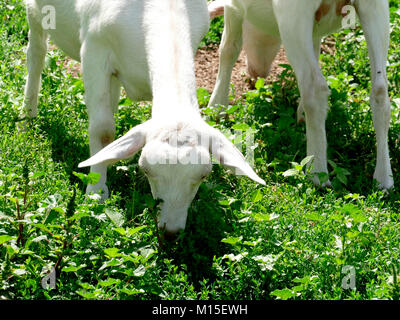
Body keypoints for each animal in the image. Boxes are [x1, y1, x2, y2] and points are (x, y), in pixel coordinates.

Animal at [23, 0, 264, 235]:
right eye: (145, 169)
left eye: (203, 175)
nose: (170, 232)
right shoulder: (94, 51)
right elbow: (103, 131)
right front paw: (96, 192)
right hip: (35, 14)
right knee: (36, 51)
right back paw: (27, 117)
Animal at [209, 0, 394, 189]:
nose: (257, 73)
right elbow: (316, 49)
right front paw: (302, 114)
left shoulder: (233, 7)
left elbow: (228, 48)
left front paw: (217, 108)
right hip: (375, 7)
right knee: (380, 90)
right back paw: (384, 179)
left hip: (293, 15)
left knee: (314, 88)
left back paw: (317, 174)